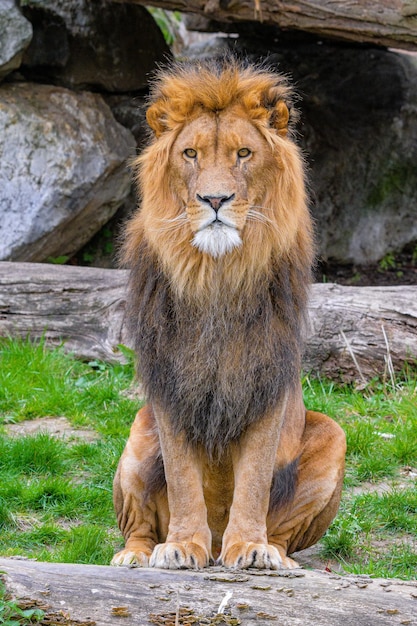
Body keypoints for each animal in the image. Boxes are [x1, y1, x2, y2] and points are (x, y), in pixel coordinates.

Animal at [110, 59, 344, 572]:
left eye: (243, 153)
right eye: (191, 154)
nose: (214, 200)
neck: (217, 275)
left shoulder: (265, 378)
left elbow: (254, 478)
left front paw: (250, 547)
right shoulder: (171, 382)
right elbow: (182, 477)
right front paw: (181, 545)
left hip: (334, 434)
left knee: (284, 532)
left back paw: (273, 555)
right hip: (137, 433)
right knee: (139, 525)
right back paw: (137, 554)